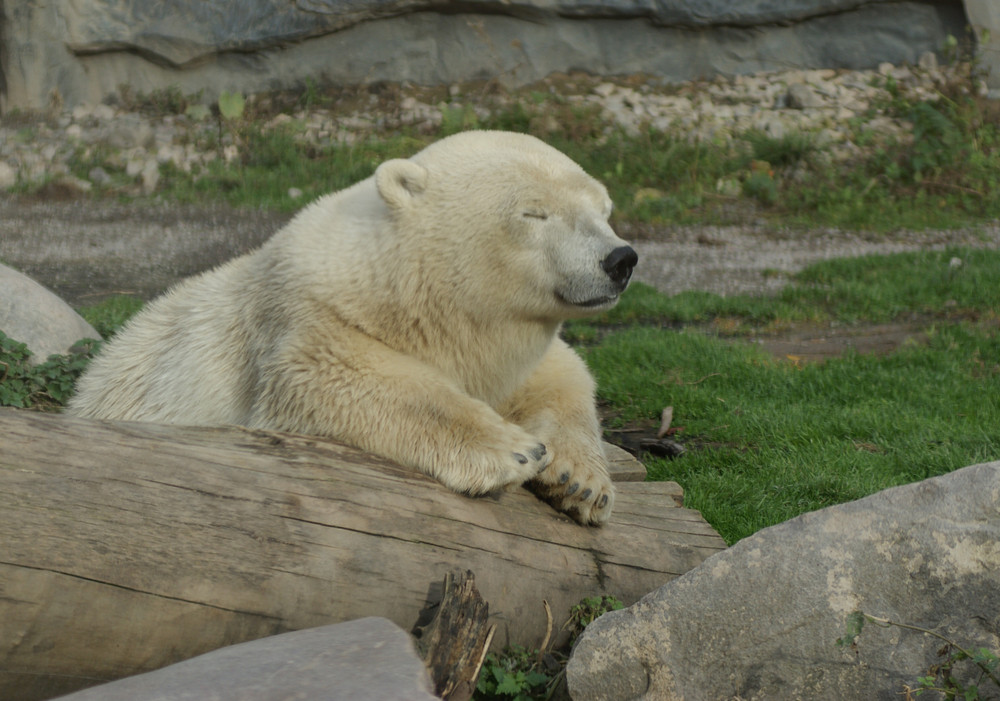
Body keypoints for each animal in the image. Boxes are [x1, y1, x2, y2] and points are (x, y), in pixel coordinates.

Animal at [70, 130, 636, 524]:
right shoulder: (301, 318)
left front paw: (580, 481)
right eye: (533, 213)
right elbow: (336, 379)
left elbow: (565, 376)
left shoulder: (513, 351)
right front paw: (514, 449)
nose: (621, 259)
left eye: (603, 208)